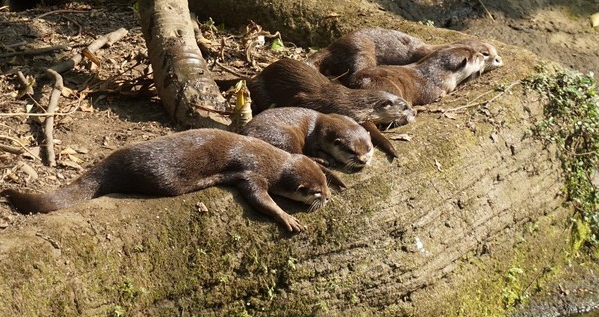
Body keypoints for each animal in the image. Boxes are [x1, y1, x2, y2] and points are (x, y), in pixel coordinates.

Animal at [1, 129, 332, 232]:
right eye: (315, 192)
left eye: (326, 185)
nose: (328, 198)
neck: (272, 161)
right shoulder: (252, 173)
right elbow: (259, 198)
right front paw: (287, 217)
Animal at [240, 107, 372, 170]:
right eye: (351, 151)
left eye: (369, 149)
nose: (363, 160)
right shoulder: (314, 141)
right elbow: (314, 150)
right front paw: (329, 158)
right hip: (287, 137)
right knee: (298, 154)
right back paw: (322, 161)